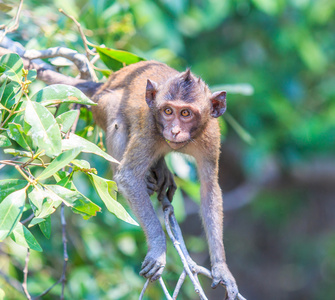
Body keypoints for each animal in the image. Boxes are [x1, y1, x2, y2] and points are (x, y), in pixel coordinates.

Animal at [90, 59, 240, 298]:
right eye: (168, 111)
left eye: (186, 113)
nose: (174, 130)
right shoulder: (150, 127)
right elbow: (128, 177)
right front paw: (158, 249)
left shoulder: (211, 136)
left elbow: (209, 189)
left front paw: (221, 268)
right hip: (100, 105)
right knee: (117, 122)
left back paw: (161, 171)